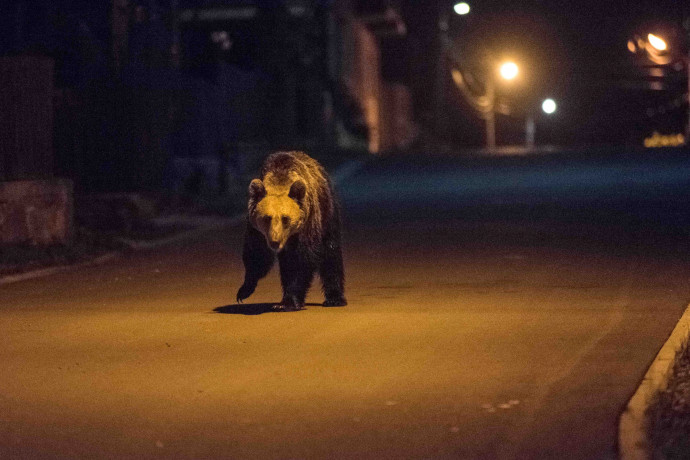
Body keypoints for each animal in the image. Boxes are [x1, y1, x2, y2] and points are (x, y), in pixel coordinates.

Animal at [236, 153, 346, 310]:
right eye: (267, 218)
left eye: (285, 218)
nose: (275, 242)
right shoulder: (257, 231)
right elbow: (257, 254)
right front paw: (244, 290)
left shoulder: (307, 225)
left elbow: (303, 259)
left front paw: (289, 301)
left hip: (327, 210)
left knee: (331, 252)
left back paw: (334, 298)